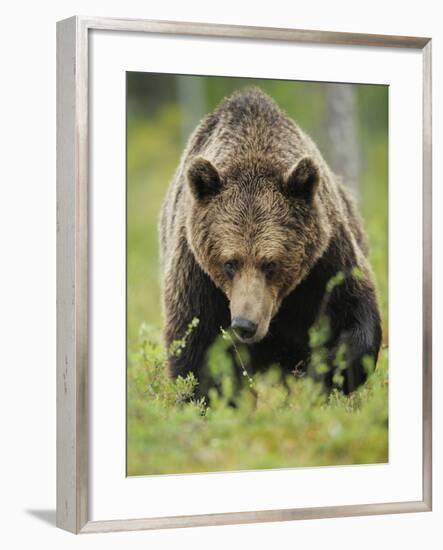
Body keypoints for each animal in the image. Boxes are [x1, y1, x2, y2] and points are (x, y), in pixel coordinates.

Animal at [159, 88, 382, 394]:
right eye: (230, 263)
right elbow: (194, 346)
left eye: (271, 264)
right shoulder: (195, 269)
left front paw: (320, 375)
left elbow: (354, 313)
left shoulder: (325, 258)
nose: (245, 325)